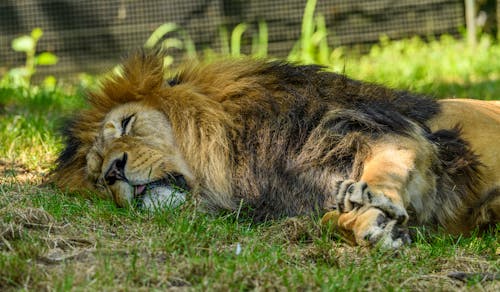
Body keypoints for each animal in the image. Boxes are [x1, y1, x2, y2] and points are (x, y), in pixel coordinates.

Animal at [51, 51, 500, 248]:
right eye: (96, 178)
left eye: (127, 123)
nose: (114, 171)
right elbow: (328, 219)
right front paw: (367, 226)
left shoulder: (388, 132)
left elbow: (385, 167)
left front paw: (371, 202)